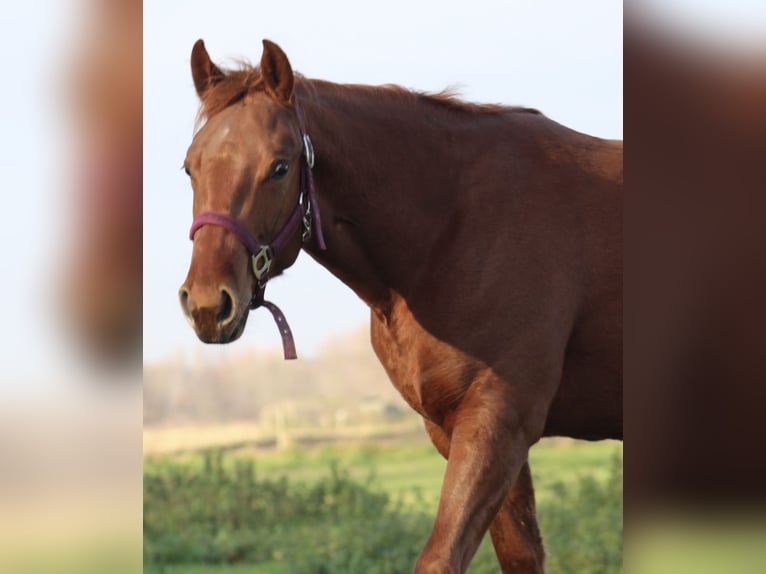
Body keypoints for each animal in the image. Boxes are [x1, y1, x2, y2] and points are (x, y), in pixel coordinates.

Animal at [182, 40, 624, 574]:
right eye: (190, 167)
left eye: (280, 167)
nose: (208, 304)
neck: (456, 229)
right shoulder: (456, 429)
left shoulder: (499, 419)